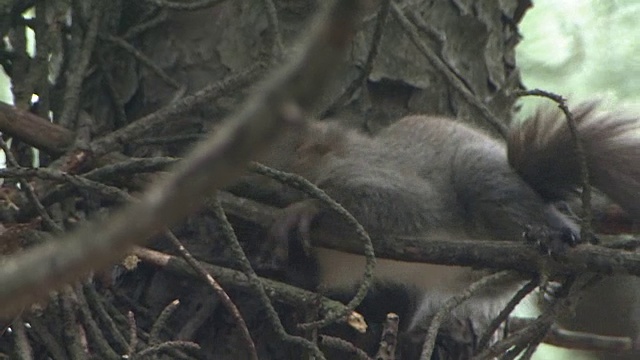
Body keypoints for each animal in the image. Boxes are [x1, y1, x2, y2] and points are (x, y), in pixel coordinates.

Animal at [251, 102, 640, 358]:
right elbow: (303, 279)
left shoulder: (390, 181)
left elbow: (383, 202)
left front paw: (303, 210)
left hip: (482, 179)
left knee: (530, 210)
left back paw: (555, 235)